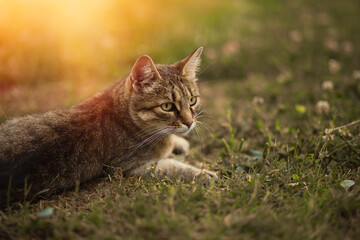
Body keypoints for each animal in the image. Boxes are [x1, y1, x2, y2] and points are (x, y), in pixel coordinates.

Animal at [0, 47, 217, 206]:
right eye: (167, 107)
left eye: (192, 100)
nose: (189, 122)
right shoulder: (128, 167)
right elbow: (173, 167)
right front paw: (202, 173)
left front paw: (179, 143)